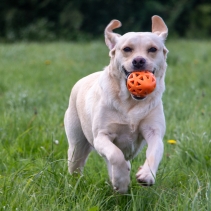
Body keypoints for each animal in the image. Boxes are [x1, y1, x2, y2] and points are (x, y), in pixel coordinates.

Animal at [64, 15, 168, 193]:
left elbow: (155, 151)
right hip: (76, 145)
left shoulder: (154, 131)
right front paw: (121, 182)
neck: (130, 102)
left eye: (153, 49)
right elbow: (115, 154)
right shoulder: (101, 136)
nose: (139, 60)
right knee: (76, 166)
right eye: (127, 49)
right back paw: (75, 186)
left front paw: (146, 175)